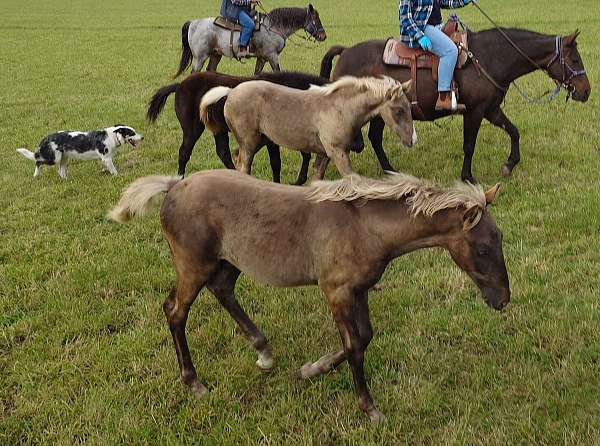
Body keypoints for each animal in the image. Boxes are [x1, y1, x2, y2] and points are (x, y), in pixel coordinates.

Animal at [109, 169, 510, 424]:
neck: (365, 227)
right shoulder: (336, 292)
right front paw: (370, 409)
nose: (502, 299)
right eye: (483, 249)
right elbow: (354, 345)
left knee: (222, 289)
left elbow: (365, 336)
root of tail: (176, 185)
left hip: (230, 260)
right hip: (193, 265)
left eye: (501, 239)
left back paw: (264, 352)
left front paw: (309, 370)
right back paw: (194, 382)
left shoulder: (358, 290)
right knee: (175, 311)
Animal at [148, 70, 364, 182]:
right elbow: (278, 161)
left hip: (218, 130)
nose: (360, 146)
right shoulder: (273, 138)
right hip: (192, 130)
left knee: (223, 152)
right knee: (184, 152)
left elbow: (302, 155)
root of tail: (179, 85)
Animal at [175, 4, 324, 76]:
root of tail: (194, 23)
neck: (273, 27)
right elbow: (277, 72)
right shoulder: (272, 56)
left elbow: (256, 74)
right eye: (315, 19)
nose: (324, 36)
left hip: (215, 54)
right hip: (200, 57)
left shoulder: (262, 58)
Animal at [202, 76, 418, 179]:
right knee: (243, 167)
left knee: (237, 158)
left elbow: (317, 180)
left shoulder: (324, 154)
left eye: (409, 108)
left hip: (259, 140)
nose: (412, 140)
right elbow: (352, 179)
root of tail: (230, 92)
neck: (340, 107)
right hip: (250, 143)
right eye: (399, 110)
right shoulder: (338, 152)